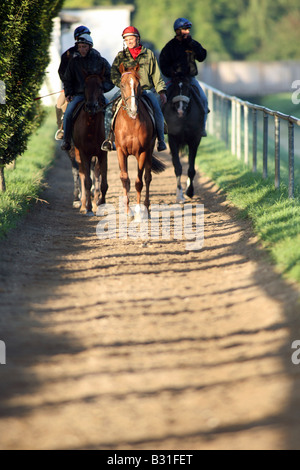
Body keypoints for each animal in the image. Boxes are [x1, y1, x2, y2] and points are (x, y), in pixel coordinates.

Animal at [72, 73, 108, 215]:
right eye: (85, 86)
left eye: (100, 87)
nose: (91, 106)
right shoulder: (83, 153)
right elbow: (87, 181)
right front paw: (87, 208)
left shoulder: (102, 153)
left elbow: (102, 182)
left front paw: (100, 204)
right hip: (78, 154)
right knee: (82, 174)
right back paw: (83, 205)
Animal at [113, 62, 165, 217]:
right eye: (122, 84)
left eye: (138, 84)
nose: (133, 109)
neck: (131, 122)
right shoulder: (120, 151)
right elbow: (125, 179)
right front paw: (128, 212)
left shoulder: (141, 152)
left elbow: (139, 182)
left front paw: (137, 212)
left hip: (149, 151)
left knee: (147, 178)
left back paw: (146, 209)